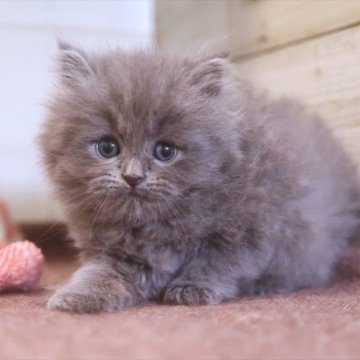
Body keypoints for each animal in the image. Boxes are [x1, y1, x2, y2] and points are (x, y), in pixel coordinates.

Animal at [39, 41, 360, 312]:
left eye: (165, 151)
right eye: (107, 147)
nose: (133, 177)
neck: (159, 225)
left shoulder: (252, 231)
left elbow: (217, 263)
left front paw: (191, 289)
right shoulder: (121, 252)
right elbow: (102, 271)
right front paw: (77, 295)